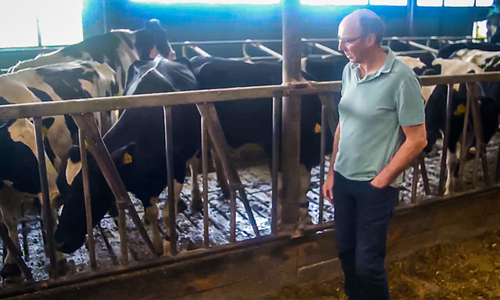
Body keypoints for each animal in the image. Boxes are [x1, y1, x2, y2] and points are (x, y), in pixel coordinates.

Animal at [0, 60, 118, 278]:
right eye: (15, 152)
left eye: (42, 144)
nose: (57, 193)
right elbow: (10, 221)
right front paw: (11, 261)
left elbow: (49, 216)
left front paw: (58, 258)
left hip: (107, 125)